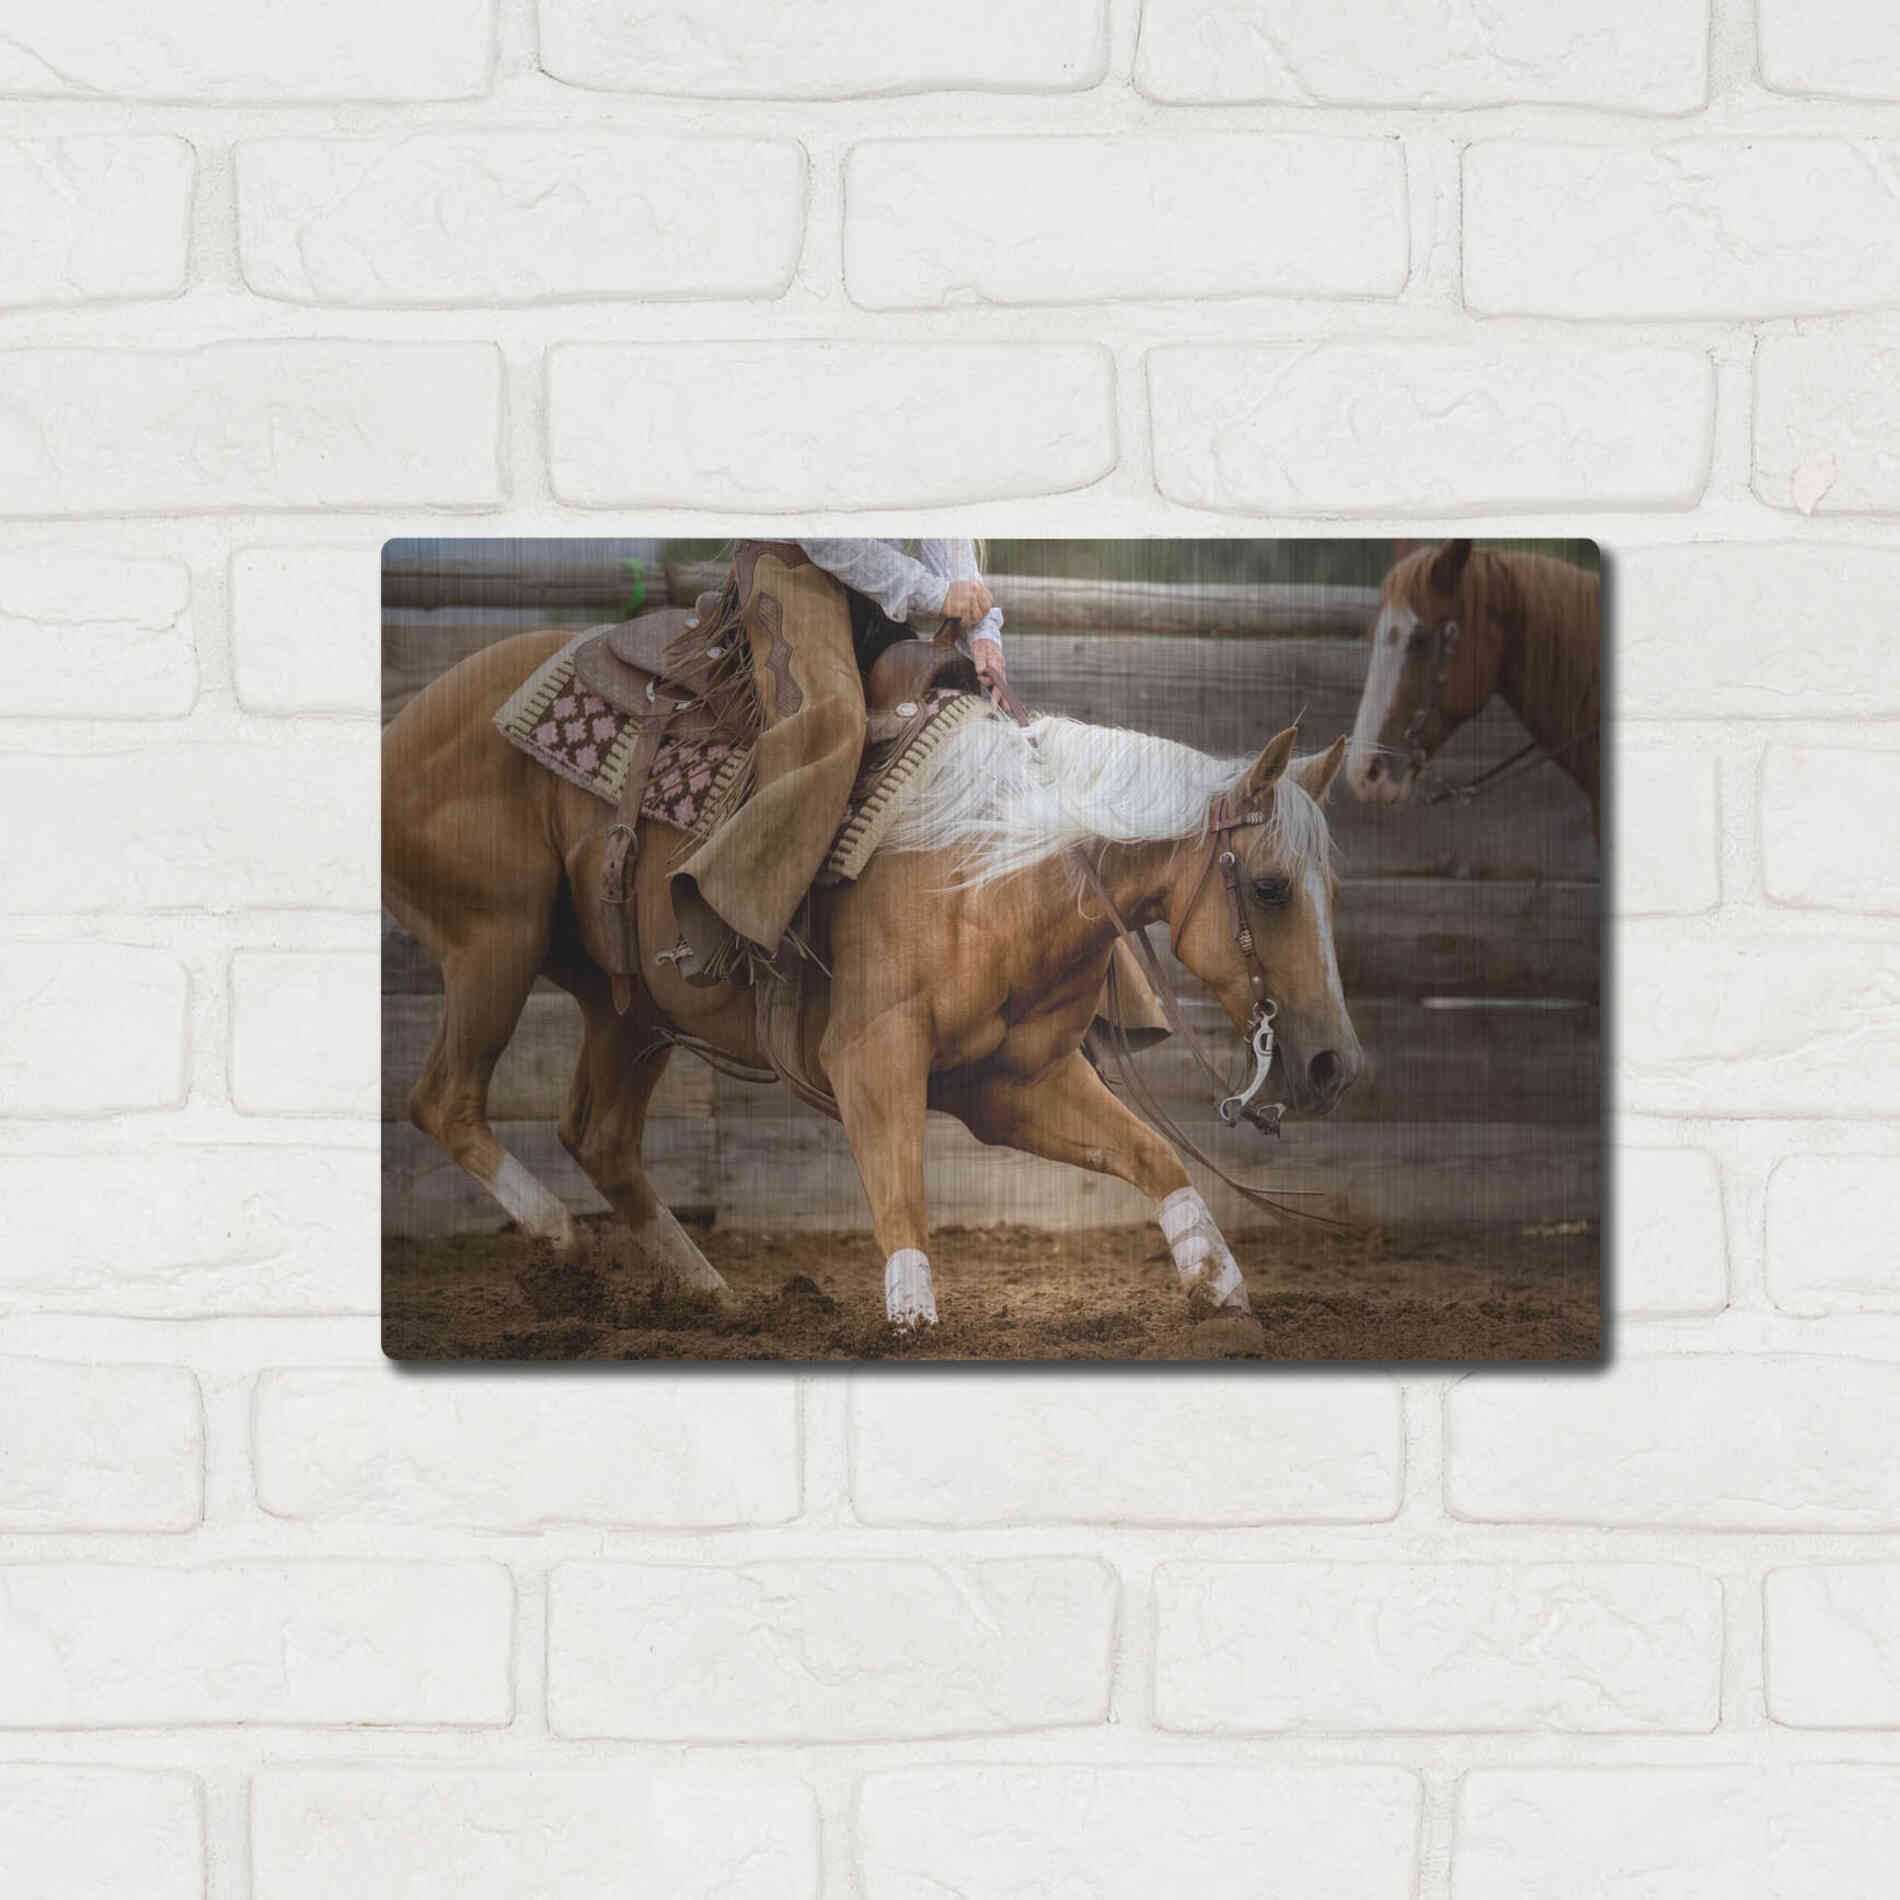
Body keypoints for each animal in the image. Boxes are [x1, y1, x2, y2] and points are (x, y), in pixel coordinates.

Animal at [383, 627, 1364, 1335]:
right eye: (1270, 887)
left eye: (1334, 886)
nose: (1333, 1067)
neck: (993, 869)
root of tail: (410, 718)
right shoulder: (871, 1056)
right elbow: (901, 1194)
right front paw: (912, 1316)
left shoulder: (1011, 1085)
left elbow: (1155, 1155)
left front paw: (1220, 1284)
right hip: (495, 941)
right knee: (445, 1100)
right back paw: (556, 1234)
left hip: (631, 1008)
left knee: (601, 1137)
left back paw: (709, 1293)